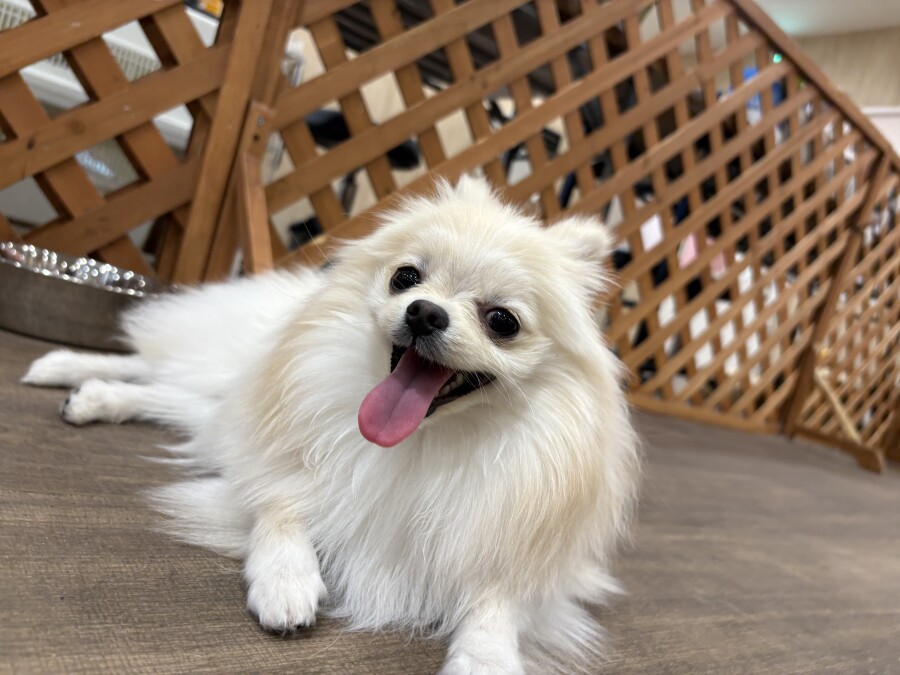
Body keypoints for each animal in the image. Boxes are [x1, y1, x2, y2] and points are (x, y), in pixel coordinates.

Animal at [24, 177, 639, 674]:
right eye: (406, 277)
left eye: (503, 322)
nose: (424, 311)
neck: (419, 443)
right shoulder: (271, 457)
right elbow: (281, 505)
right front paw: (286, 578)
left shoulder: (516, 548)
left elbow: (499, 601)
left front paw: (486, 657)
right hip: (221, 370)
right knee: (145, 365)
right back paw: (65, 369)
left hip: (214, 396)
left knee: (162, 394)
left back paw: (92, 397)